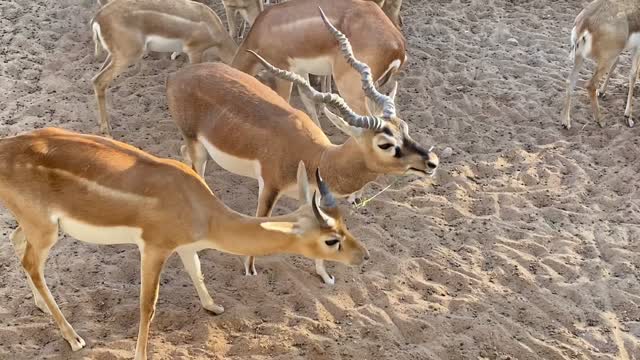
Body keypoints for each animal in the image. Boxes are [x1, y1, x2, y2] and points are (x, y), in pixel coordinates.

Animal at [0, 128, 364, 358]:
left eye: (345, 224)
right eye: (331, 239)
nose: (363, 255)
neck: (201, 208)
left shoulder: (186, 246)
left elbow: (198, 272)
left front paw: (213, 307)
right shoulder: (154, 247)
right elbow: (148, 304)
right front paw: (140, 354)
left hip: (36, 225)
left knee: (17, 243)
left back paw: (40, 306)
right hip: (45, 229)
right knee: (31, 263)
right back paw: (74, 338)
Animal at [90, 0, 238, 136]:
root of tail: (98, 18)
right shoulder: (194, 52)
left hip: (114, 55)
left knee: (95, 79)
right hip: (128, 55)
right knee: (99, 81)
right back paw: (106, 129)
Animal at [232, 0, 408, 126]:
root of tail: (398, 44)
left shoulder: (282, 69)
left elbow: (284, 101)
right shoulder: (299, 71)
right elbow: (308, 101)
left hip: (350, 88)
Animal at [560, 0, 640, 129]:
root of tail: (586, 21)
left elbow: (618, 65)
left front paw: (602, 92)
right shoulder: (637, 48)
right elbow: (632, 75)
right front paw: (628, 117)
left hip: (580, 57)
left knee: (570, 81)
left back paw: (566, 122)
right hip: (606, 59)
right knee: (590, 84)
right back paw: (600, 121)